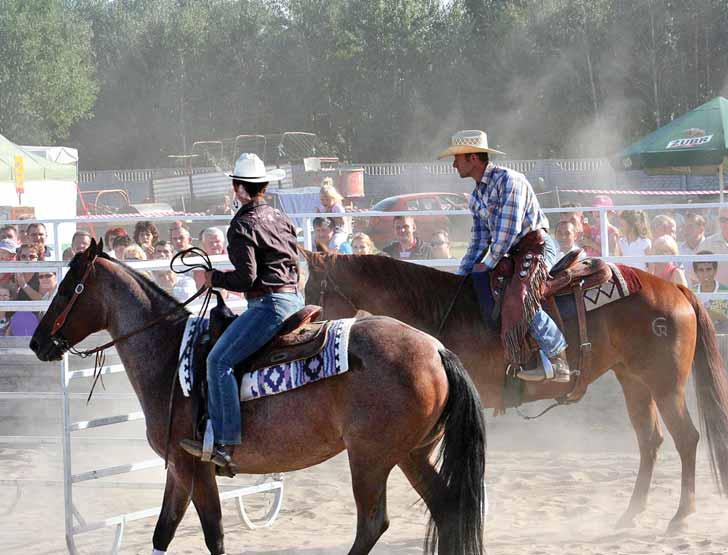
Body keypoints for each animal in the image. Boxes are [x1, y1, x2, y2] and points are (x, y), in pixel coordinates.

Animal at [28, 242, 486, 555]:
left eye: (68, 288)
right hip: (412, 453)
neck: (171, 355)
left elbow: (209, 534)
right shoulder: (184, 468)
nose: (37, 343)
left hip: (370, 459)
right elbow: (168, 531)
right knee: (447, 508)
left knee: (374, 523)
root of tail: (436, 349)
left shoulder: (191, 466)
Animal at [302, 250, 728, 532]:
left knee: (686, 439)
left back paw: (680, 516)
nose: (302, 328)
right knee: (650, 440)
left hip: (666, 384)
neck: (440, 314)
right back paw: (630, 513)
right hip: (634, 382)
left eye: (313, 289)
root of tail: (674, 287)